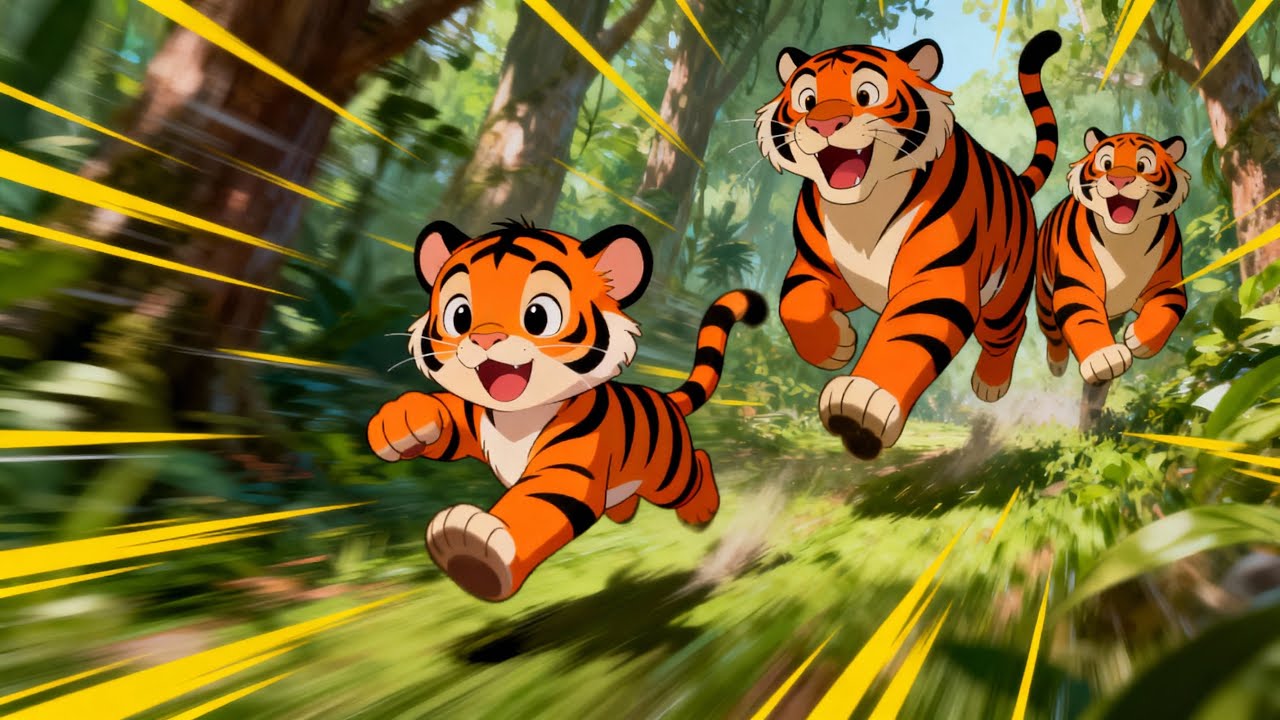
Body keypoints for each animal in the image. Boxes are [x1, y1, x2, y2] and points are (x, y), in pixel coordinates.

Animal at [366, 219, 765, 602]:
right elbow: (444, 412)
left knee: (698, 464)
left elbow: (537, 505)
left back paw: (702, 511)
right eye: (460, 314)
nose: (483, 339)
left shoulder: (568, 467)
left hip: (669, 474)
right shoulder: (474, 416)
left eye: (538, 315)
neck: (517, 416)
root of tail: (666, 398)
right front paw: (397, 424)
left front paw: (473, 552)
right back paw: (622, 510)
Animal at [755, 30, 1062, 459]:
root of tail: (1016, 180)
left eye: (866, 93)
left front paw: (861, 406)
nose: (824, 123)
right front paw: (836, 344)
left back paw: (990, 382)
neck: (861, 210)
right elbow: (796, 305)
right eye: (807, 99)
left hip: (1006, 293)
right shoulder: (819, 268)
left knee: (1009, 330)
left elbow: (905, 335)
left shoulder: (937, 279)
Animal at [1035, 128, 1190, 385]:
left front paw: (1140, 339)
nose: (1119, 180)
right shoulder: (1076, 283)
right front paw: (1104, 359)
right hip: (1044, 297)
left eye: (1142, 164)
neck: (1125, 239)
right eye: (1106, 163)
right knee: (1051, 332)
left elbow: (1166, 310)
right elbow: (1084, 317)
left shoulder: (1168, 283)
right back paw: (1056, 363)